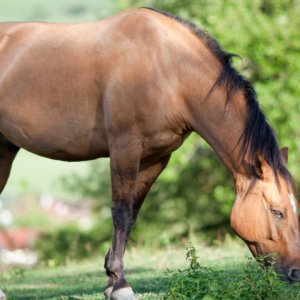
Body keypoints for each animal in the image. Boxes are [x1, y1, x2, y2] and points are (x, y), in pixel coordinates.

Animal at [0, 7, 298, 300]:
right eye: (277, 212)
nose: (296, 272)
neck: (168, 70)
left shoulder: (155, 158)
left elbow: (132, 214)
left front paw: (111, 280)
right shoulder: (125, 147)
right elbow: (120, 212)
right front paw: (120, 285)